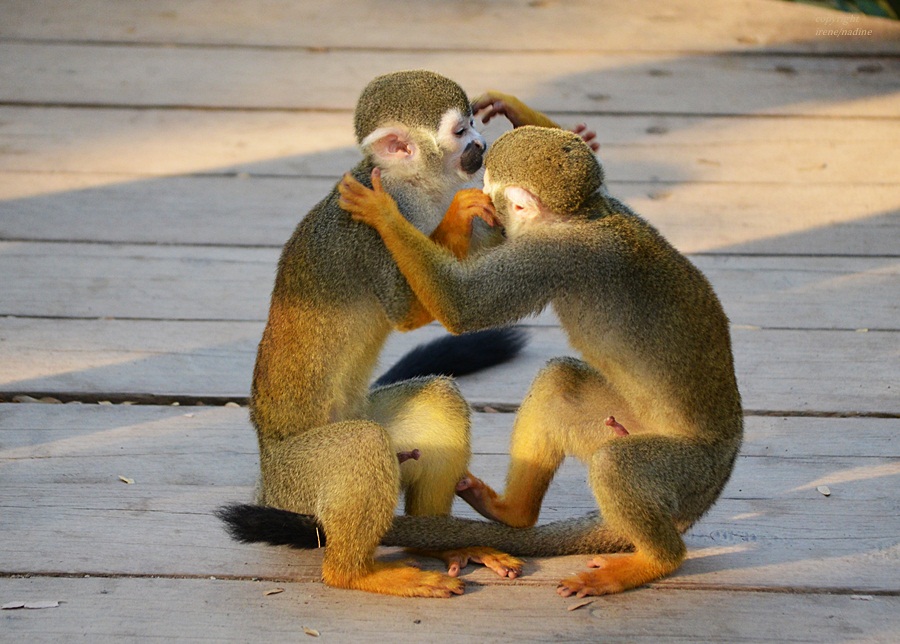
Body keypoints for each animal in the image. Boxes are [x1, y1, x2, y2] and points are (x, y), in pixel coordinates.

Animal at [215, 70, 524, 600]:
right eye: (460, 131)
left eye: (473, 124)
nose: (482, 147)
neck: (410, 186)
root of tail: (265, 474)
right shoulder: (363, 238)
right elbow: (406, 310)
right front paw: (427, 213)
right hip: (297, 481)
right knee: (360, 444)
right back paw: (356, 573)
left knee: (435, 403)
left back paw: (443, 544)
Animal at [340, 123, 744, 596]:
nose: (489, 209)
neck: (581, 217)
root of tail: (722, 472)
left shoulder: (552, 254)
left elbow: (464, 308)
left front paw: (382, 211)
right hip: (625, 426)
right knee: (561, 381)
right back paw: (513, 513)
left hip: (688, 469)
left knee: (616, 464)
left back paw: (653, 562)